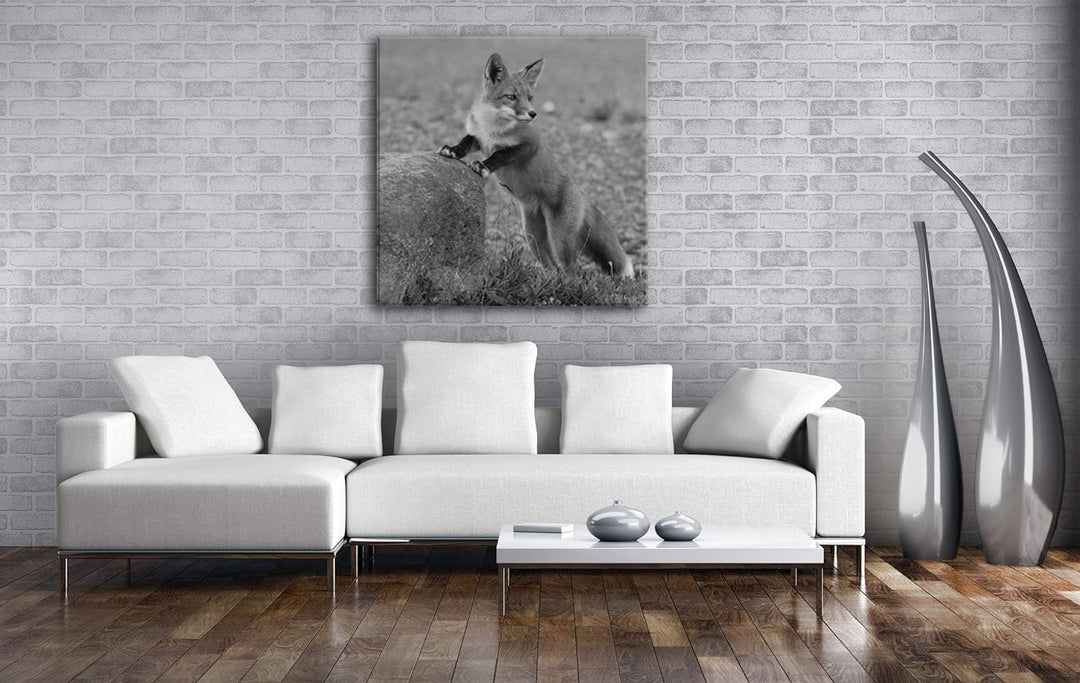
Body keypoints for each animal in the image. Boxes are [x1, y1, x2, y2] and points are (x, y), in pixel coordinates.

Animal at [438, 53, 635, 278]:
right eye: (511, 96)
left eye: (530, 98)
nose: (533, 114)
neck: (494, 126)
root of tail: (580, 193)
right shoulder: (479, 137)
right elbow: (465, 143)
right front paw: (452, 151)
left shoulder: (530, 144)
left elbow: (500, 154)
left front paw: (483, 166)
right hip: (532, 237)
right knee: (553, 266)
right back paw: (549, 280)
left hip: (560, 239)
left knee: (572, 271)